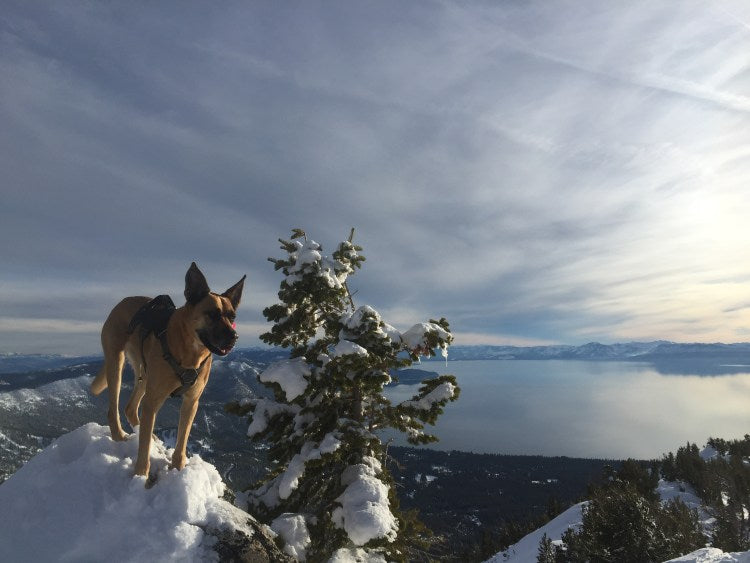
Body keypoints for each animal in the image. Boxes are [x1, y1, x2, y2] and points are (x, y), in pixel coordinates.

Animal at [90, 262, 245, 478]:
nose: (234, 337)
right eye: (212, 314)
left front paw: (177, 469)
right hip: (117, 363)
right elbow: (144, 446)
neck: (190, 352)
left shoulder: (191, 402)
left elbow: (181, 441)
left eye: (232, 317)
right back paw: (119, 435)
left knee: (131, 408)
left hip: (145, 373)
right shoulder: (153, 401)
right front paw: (141, 475)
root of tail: (122, 302)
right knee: (114, 409)